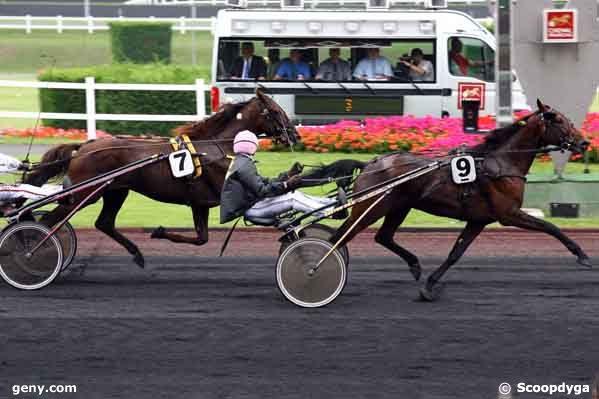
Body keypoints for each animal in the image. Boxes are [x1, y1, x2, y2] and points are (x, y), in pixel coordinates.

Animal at [26, 90, 300, 268]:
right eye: (275, 111)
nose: (295, 135)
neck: (215, 147)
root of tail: (83, 147)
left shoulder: (199, 202)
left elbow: (201, 238)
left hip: (116, 190)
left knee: (103, 223)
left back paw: (136, 253)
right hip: (84, 194)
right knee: (49, 222)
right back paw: (31, 251)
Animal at [328, 101, 596, 304]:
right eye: (557, 120)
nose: (584, 143)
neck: (501, 164)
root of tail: (369, 164)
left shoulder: (478, 220)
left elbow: (455, 253)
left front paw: (429, 287)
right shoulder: (508, 214)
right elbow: (551, 227)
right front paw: (582, 255)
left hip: (398, 207)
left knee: (382, 237)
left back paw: (414, 265)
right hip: (370, 208)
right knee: (338, 238)